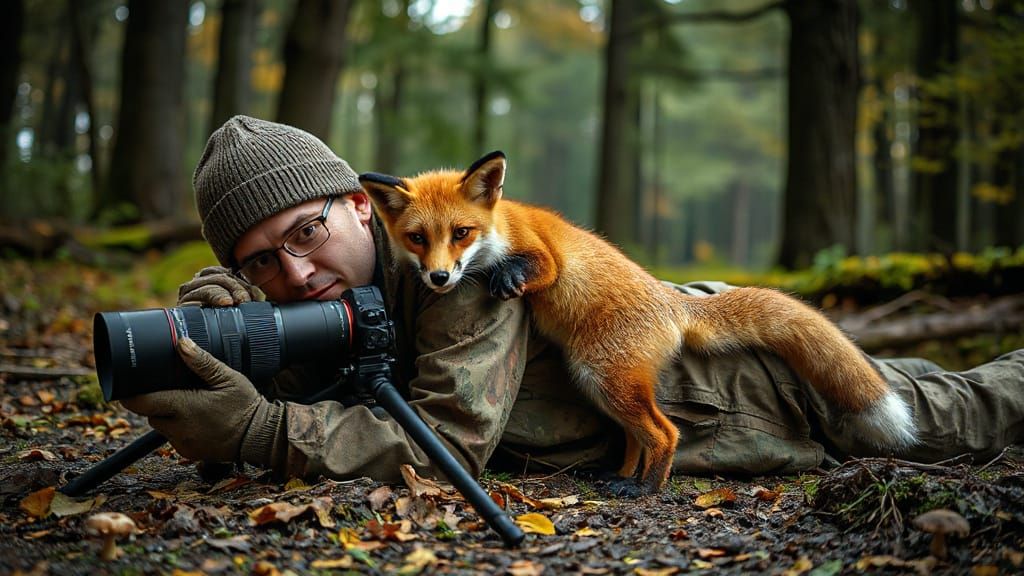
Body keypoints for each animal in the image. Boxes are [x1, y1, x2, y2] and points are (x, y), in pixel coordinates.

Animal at [359, 150, 918, 494]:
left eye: (461, 232)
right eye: (416, 238)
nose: (438, 277)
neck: (502, 227)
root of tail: (673, 303)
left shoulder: (543, 250)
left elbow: (539, 267)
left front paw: (505, 276)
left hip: (605, 376)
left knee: (666, 432)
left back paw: (646, 488)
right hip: (599, 384)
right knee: (637, 437)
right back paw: (622, 476)